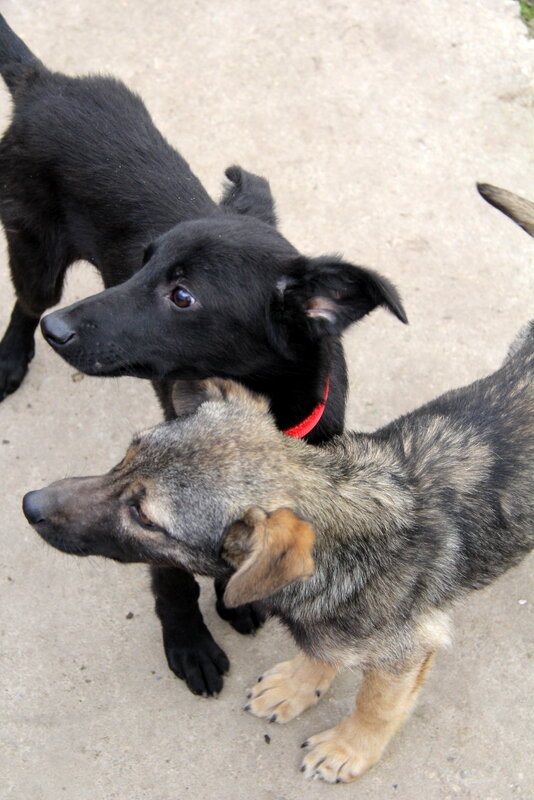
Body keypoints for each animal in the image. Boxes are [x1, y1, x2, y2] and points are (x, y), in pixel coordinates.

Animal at [0, 17, 408, 692]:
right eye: (143, 261)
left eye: (182, 295)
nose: (61, 332)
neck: (273, 410)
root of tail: (46, 81)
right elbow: (170, 572)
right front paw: (189, 639)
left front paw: (230, 601)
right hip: (36, 252)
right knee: (24, 305)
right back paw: (13, 356)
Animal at [22, 188, 534, 780]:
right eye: (127, 453)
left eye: (146, 517)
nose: (28, 504)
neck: (356, 523)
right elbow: (321, 651)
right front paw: (299, 683)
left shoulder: (408, 651)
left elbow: (376, 703)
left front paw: (349, 747)